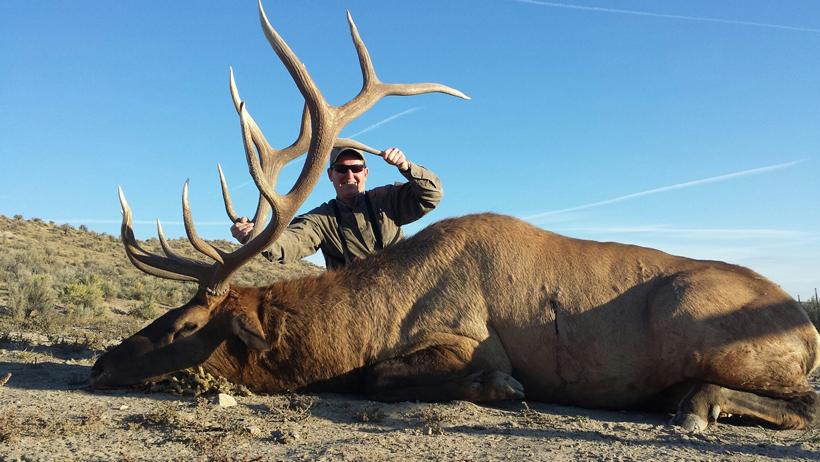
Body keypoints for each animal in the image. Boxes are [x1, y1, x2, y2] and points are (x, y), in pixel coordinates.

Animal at [91, 1, 820, 432]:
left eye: (186, 323)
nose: (100, 362)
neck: (364, 326)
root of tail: (807, 329)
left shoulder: (465, 339)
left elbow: (391, 378)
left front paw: (505, 387)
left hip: (698, 319)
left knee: (802, 402)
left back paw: (695, 406)